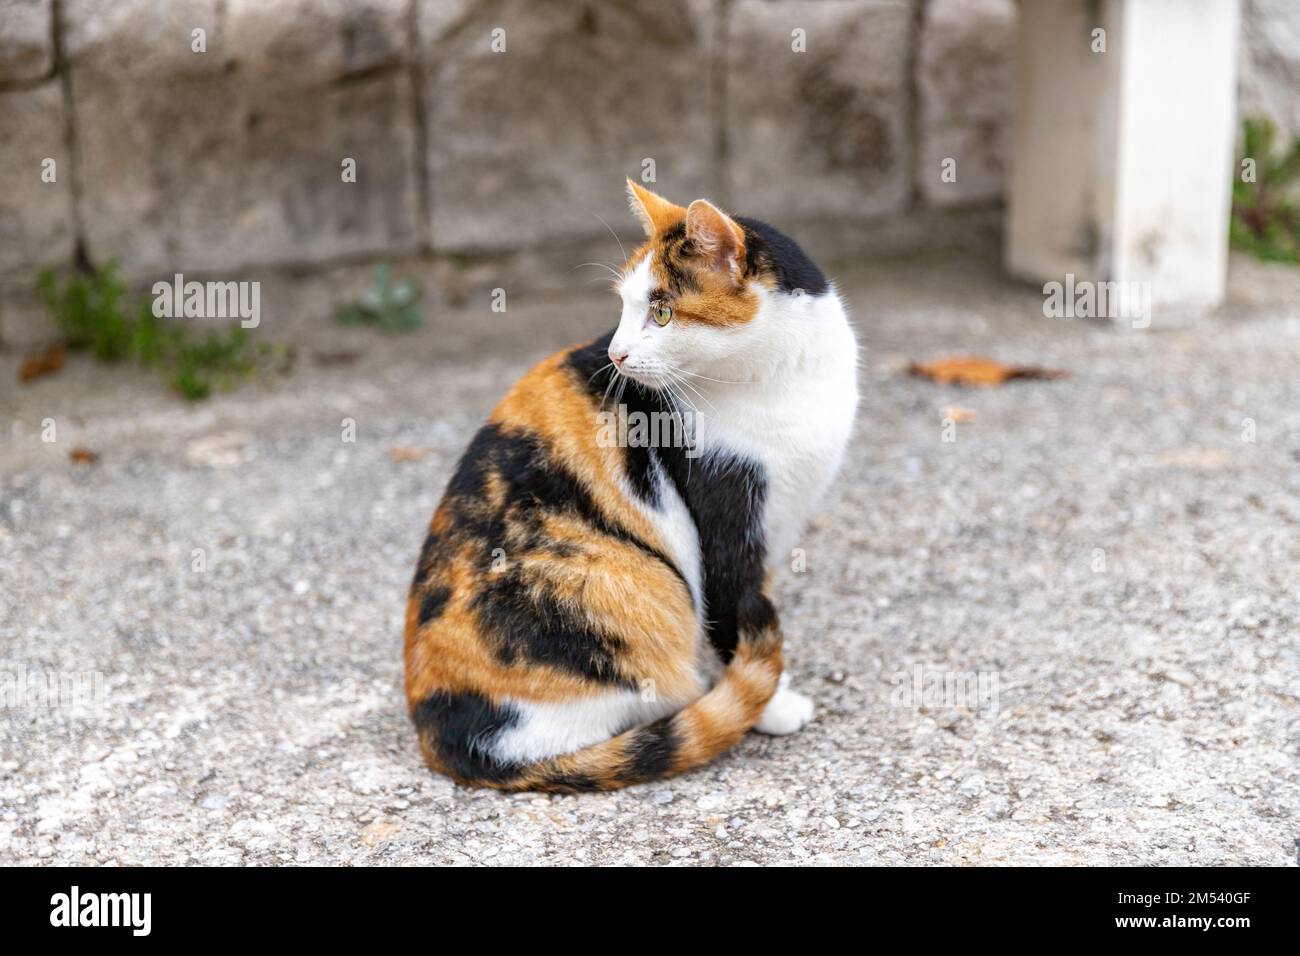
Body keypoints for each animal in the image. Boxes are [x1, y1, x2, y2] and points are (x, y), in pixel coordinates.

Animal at [400, 180, 857, 790]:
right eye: (624, 307)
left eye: (661, 311)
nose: (616, 354)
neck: (780, 378)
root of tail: (451, 742)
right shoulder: (727, 523)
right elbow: (736, 613)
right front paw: (774, 704)